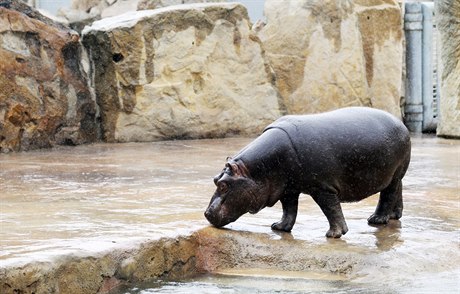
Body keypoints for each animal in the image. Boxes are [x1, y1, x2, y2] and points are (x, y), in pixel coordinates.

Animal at [203, 107, 412, 238]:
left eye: (223, 185)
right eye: (214, 179)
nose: (206, 213)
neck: (255, 172)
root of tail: (401, 124)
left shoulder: (322, 187)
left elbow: (331, 209)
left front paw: (334, 234)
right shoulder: (287, 189)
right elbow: (289, 210)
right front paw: (279, 227)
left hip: (392, 175)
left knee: (387, 195)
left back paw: (377, 220)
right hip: (395, 174)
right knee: (398, 190)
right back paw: (394, 216)